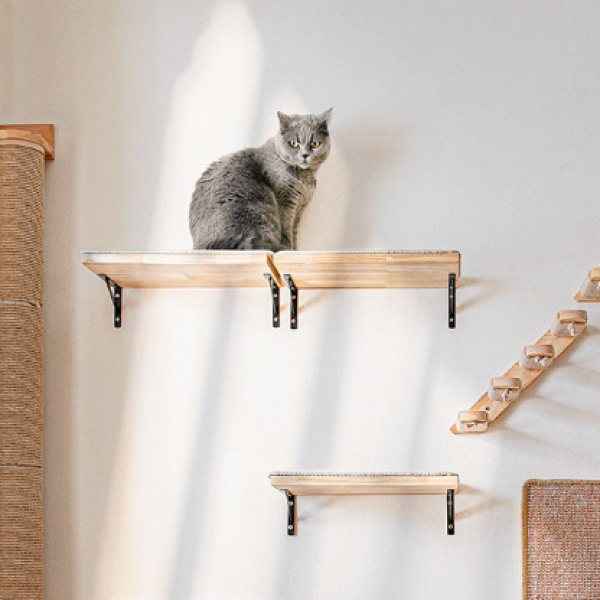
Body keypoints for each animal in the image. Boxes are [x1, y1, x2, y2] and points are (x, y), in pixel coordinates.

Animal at [190, 109, 330, 252]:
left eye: (315, 144)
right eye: (294, 144)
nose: (305, 155)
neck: (305, 180)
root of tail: (206, 245)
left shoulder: (300, 208)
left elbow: (294, 232)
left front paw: (295, 250)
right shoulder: (286, 200)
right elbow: (287, 230)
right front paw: (289, 249)